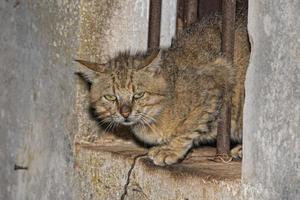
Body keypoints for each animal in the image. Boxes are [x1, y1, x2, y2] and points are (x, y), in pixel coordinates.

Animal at [76, 16, 250, 166]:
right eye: (110, 97)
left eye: (138, 95)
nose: (125, 113)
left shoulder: (217, 81)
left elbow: (189, 127)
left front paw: (170, 150)